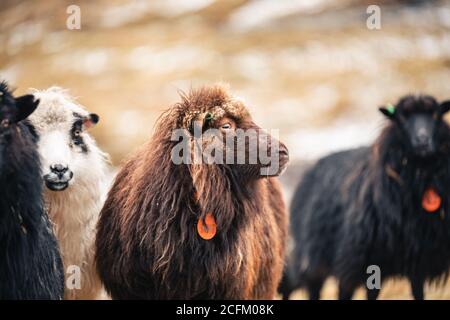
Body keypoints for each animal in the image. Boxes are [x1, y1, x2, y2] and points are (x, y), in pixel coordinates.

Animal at [284, 95, 450, 300]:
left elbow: (418, 292)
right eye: (401, 118)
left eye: (436, 115)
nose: (422, 141)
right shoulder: (369, 259)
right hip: (319, 258)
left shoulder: (419, 260)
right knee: (315, 288)